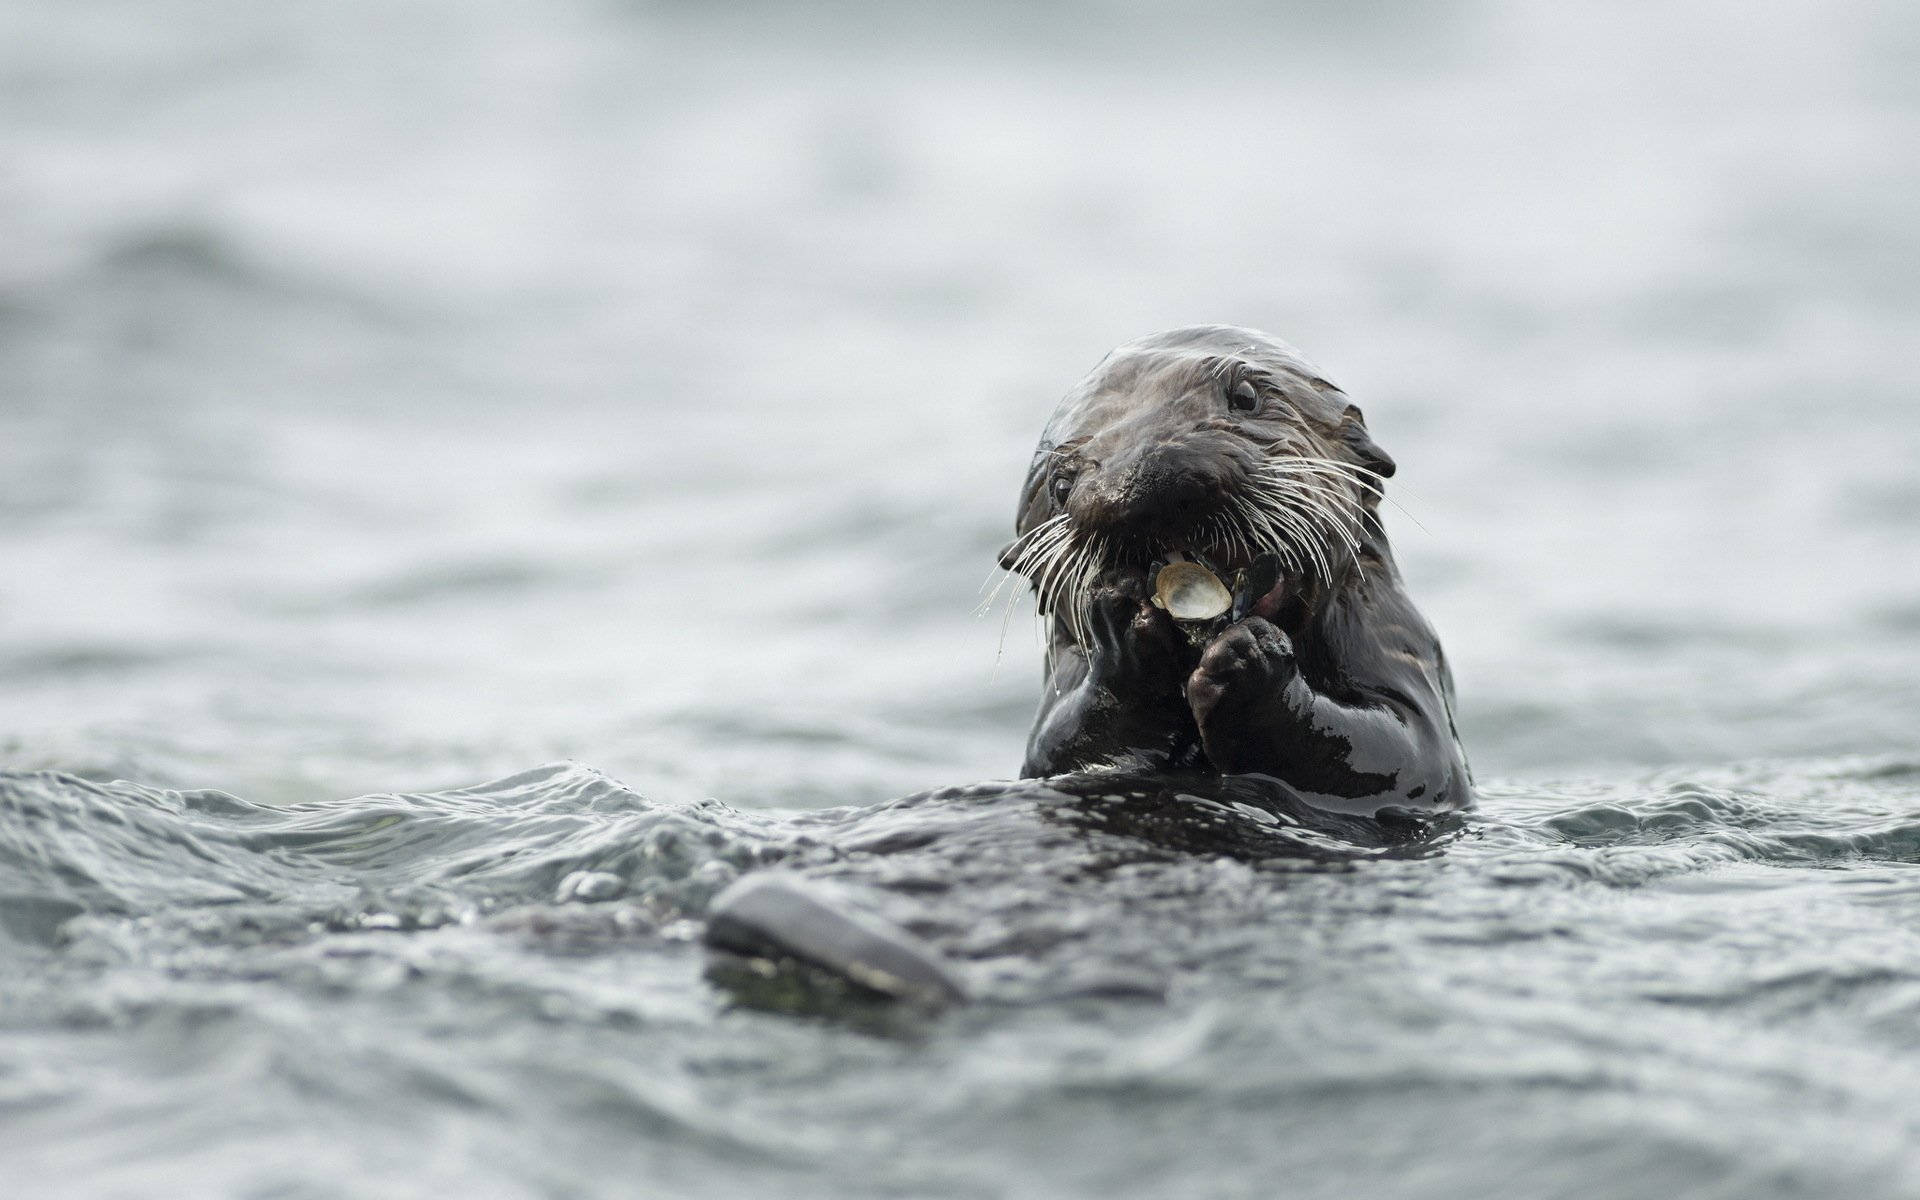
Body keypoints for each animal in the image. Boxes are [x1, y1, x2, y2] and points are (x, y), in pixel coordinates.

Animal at [1001, 325, 1471, 815]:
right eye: (1060, 485)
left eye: (1245, 396)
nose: (1141, 481)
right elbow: (1059, 746)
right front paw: (1125, 638)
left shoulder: (1396, 642)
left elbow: (1408, 751)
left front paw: (1250, 657)